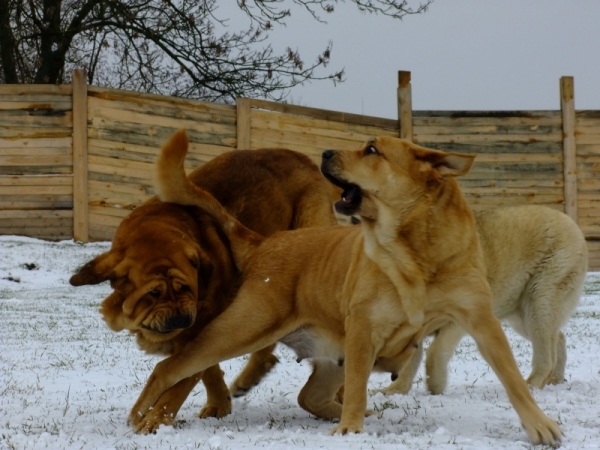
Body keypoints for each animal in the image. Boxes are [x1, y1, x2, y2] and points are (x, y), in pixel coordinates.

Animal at [69, 140, 338, 428]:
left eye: (186, 287)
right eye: (153, 293)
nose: (181, 319)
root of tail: (303, 157)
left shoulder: (201, 329)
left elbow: (181, 382)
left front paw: (156, 421)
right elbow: (206, 370)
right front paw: (219, 404)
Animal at [129, 131, 560, 446]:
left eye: (372, 149)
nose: (324, 151)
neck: (412, 251)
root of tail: (267, 242)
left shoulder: (481, 320)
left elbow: (514, 379)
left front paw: (540, 425)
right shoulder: (364, 327)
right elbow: (356, 388)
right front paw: (351, 430)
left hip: (322, 351)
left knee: (309, 397)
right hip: (244, 328)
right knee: (170, 368)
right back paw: (142, 416)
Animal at [382, 206, 588, 396]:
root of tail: (568, 220)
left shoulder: (458, 321)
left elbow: (435, 353)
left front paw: (435, 386)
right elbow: (410, 362)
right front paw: (394, 391)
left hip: (540, 303)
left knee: (546, 354)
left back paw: (530, 385)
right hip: (523, 318)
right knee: (558, 337)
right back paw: (555, 380)